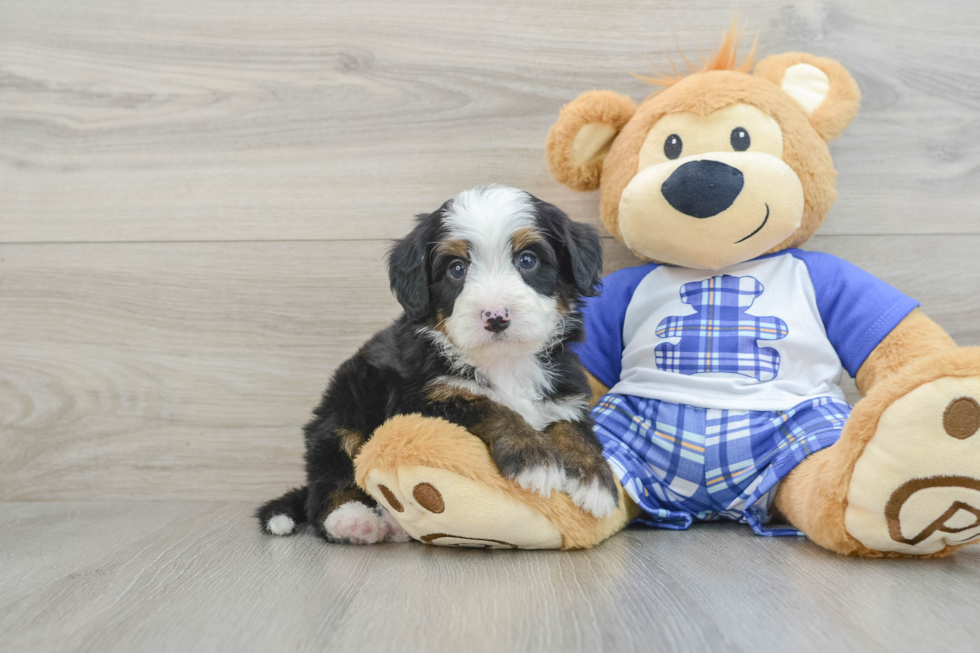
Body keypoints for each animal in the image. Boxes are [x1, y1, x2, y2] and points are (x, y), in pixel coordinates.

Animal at [256, 183, 616, 540]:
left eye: (528, 260)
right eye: (457, 268)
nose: (495, 317)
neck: (504, 363)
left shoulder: (565, 394)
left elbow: (573, 428)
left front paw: (594, 479)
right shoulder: (422, 399)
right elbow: (490, 406)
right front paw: (533, 455)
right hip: (343, 410)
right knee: (327, 482)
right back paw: (353, 520)